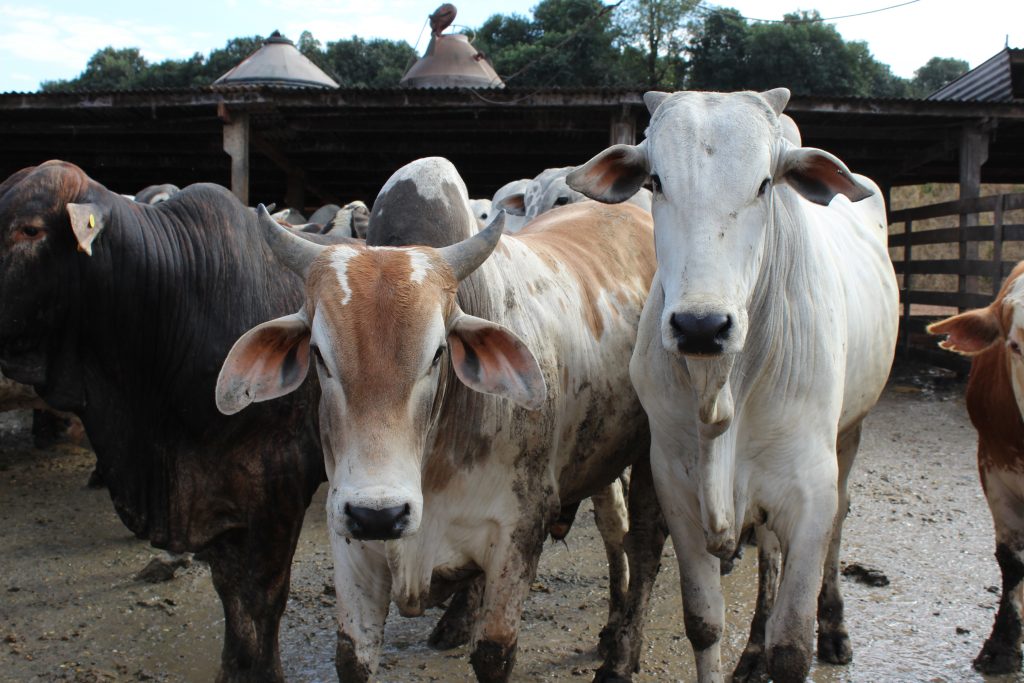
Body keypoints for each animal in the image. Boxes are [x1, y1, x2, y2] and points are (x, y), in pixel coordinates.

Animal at [212, 157, 667, 679]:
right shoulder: (350, 544)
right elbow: (351, 657)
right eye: (319, 354)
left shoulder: (518, 533)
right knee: (613, 522)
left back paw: (620, 651)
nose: (379, 513)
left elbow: (494, 654)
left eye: (437, 354)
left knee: (641, 543)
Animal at [569, 88, 897, 679]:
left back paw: (833, 628)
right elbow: (702, 623)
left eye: (765, 184)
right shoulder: (676, 488)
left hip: (850, 434)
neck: (721, 390)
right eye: (656, 181)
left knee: (838, 526)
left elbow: (793, 649)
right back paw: (751, 650)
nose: (701, 325)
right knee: (767, 549)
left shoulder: (810, 493)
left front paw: (790, 644)